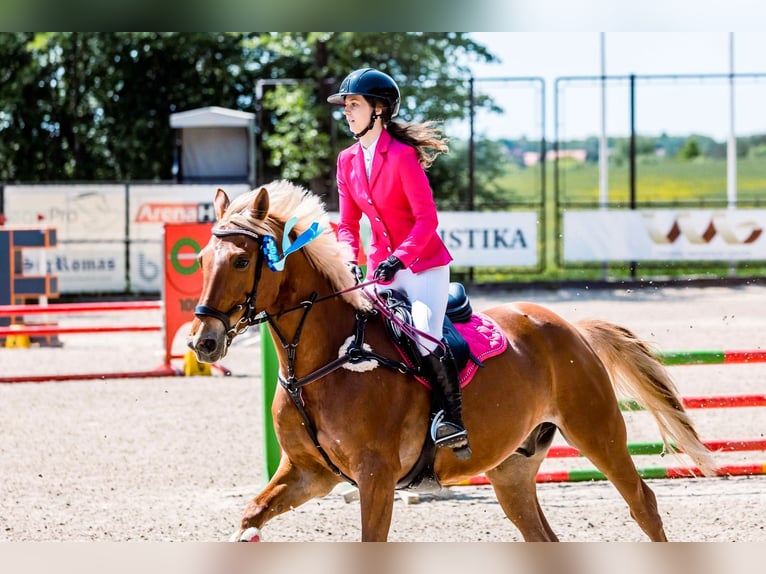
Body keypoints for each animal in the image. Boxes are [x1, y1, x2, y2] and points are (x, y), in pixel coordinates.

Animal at [189, 181, 716, 544]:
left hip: (597, 431)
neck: (325, 361)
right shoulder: (309, 473)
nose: (203, 342)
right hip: (512, 469)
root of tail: (571, 327)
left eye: (241, 262)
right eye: (200, 259)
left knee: (643, 504)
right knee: (543, 535)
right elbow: (251, 514)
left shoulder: (376, 477)